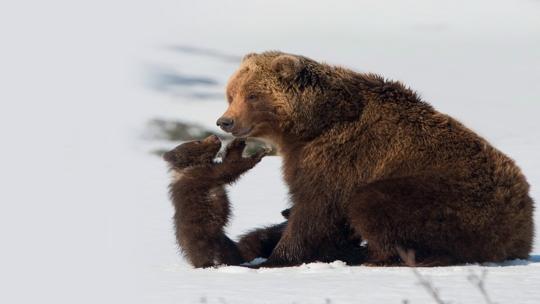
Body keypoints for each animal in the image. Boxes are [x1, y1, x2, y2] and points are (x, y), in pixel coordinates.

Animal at [161, 134, 268, 268]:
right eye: (197, 141)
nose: (214, 135)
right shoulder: (201, 176)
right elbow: (228, 169)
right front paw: (258, 154)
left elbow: (230, 160)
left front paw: (238, 143)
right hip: (197, 233)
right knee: (200, 251)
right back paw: (207, 264)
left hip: (221, 238)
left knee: (230, 250)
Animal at [216, 51, 536, 268]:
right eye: (231, 94)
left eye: (253, 95)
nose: (225, 121)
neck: (311, 125)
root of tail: (524, 225)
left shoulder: (341, 154)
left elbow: (316, 209)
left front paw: (275, 258)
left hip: (455, 196)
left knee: (373, 204)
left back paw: (368, 255)